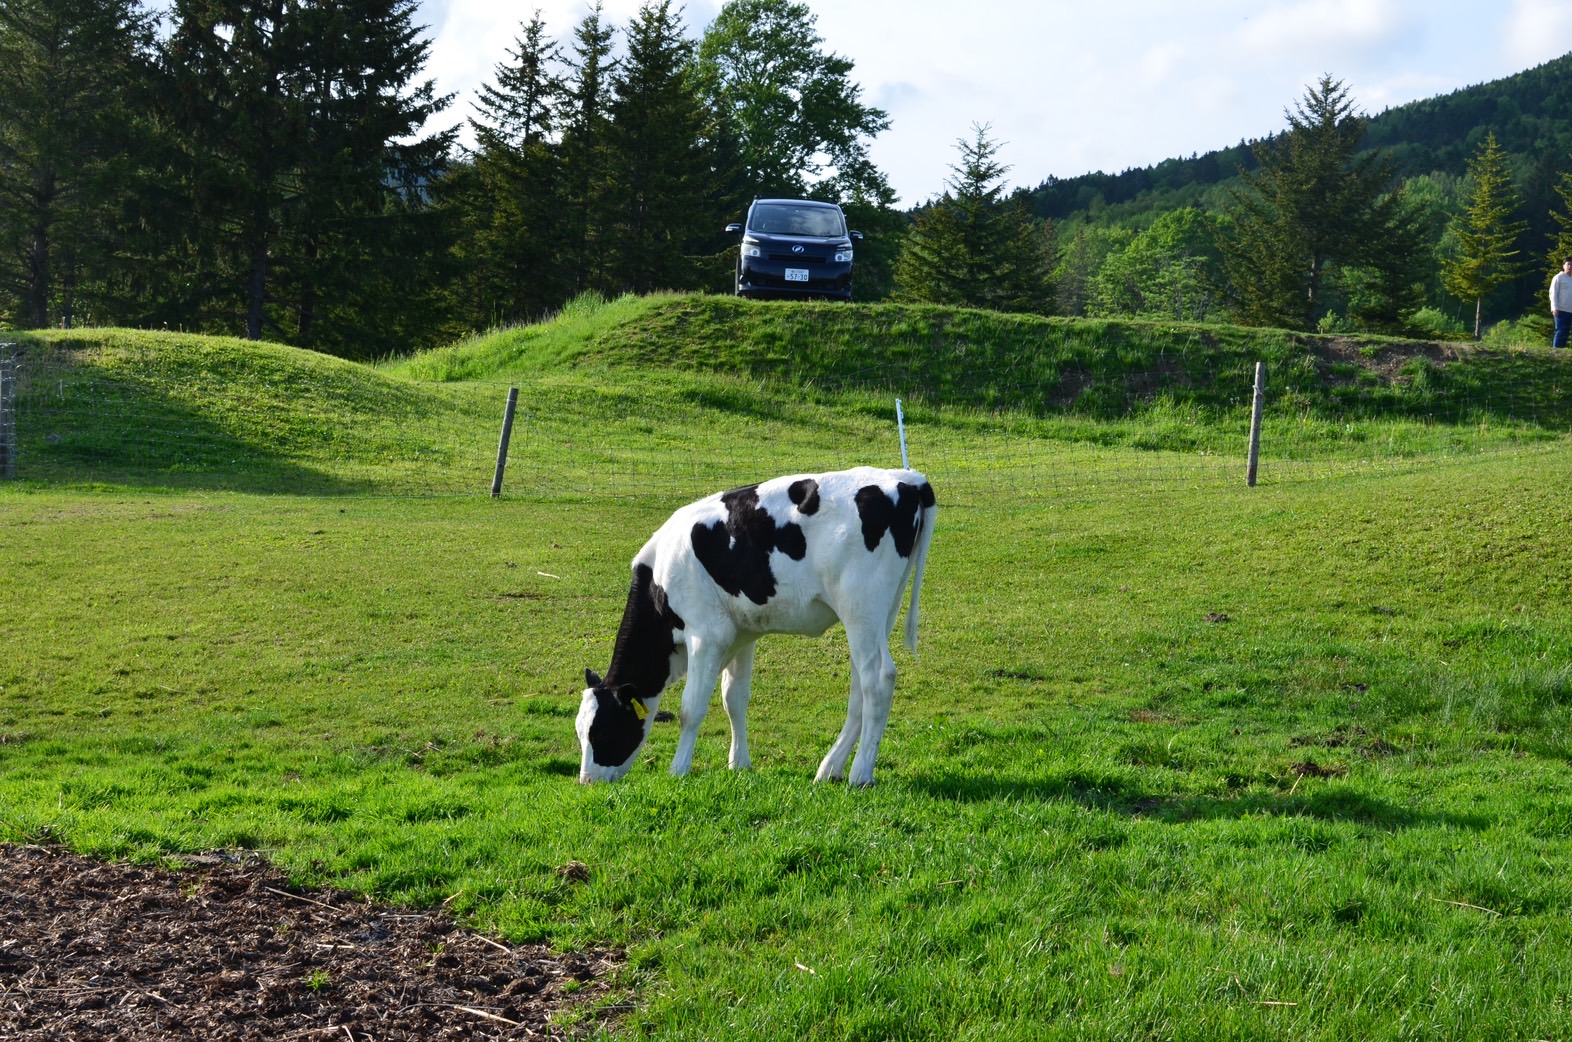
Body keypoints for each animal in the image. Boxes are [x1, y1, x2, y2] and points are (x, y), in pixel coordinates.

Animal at [584, 468, 936, 785]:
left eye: (600, 731)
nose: (586, 781)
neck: (660, 577)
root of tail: (908, 479)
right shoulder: (742, 632)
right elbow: (734, 698)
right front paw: (739, 763)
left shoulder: (707, 634)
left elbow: (691, 708)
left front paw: (679, 769)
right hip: (876, 615)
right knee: (859, 688)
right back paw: (830, 769)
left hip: (861, 606)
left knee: (878, 680)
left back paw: (860, 774)